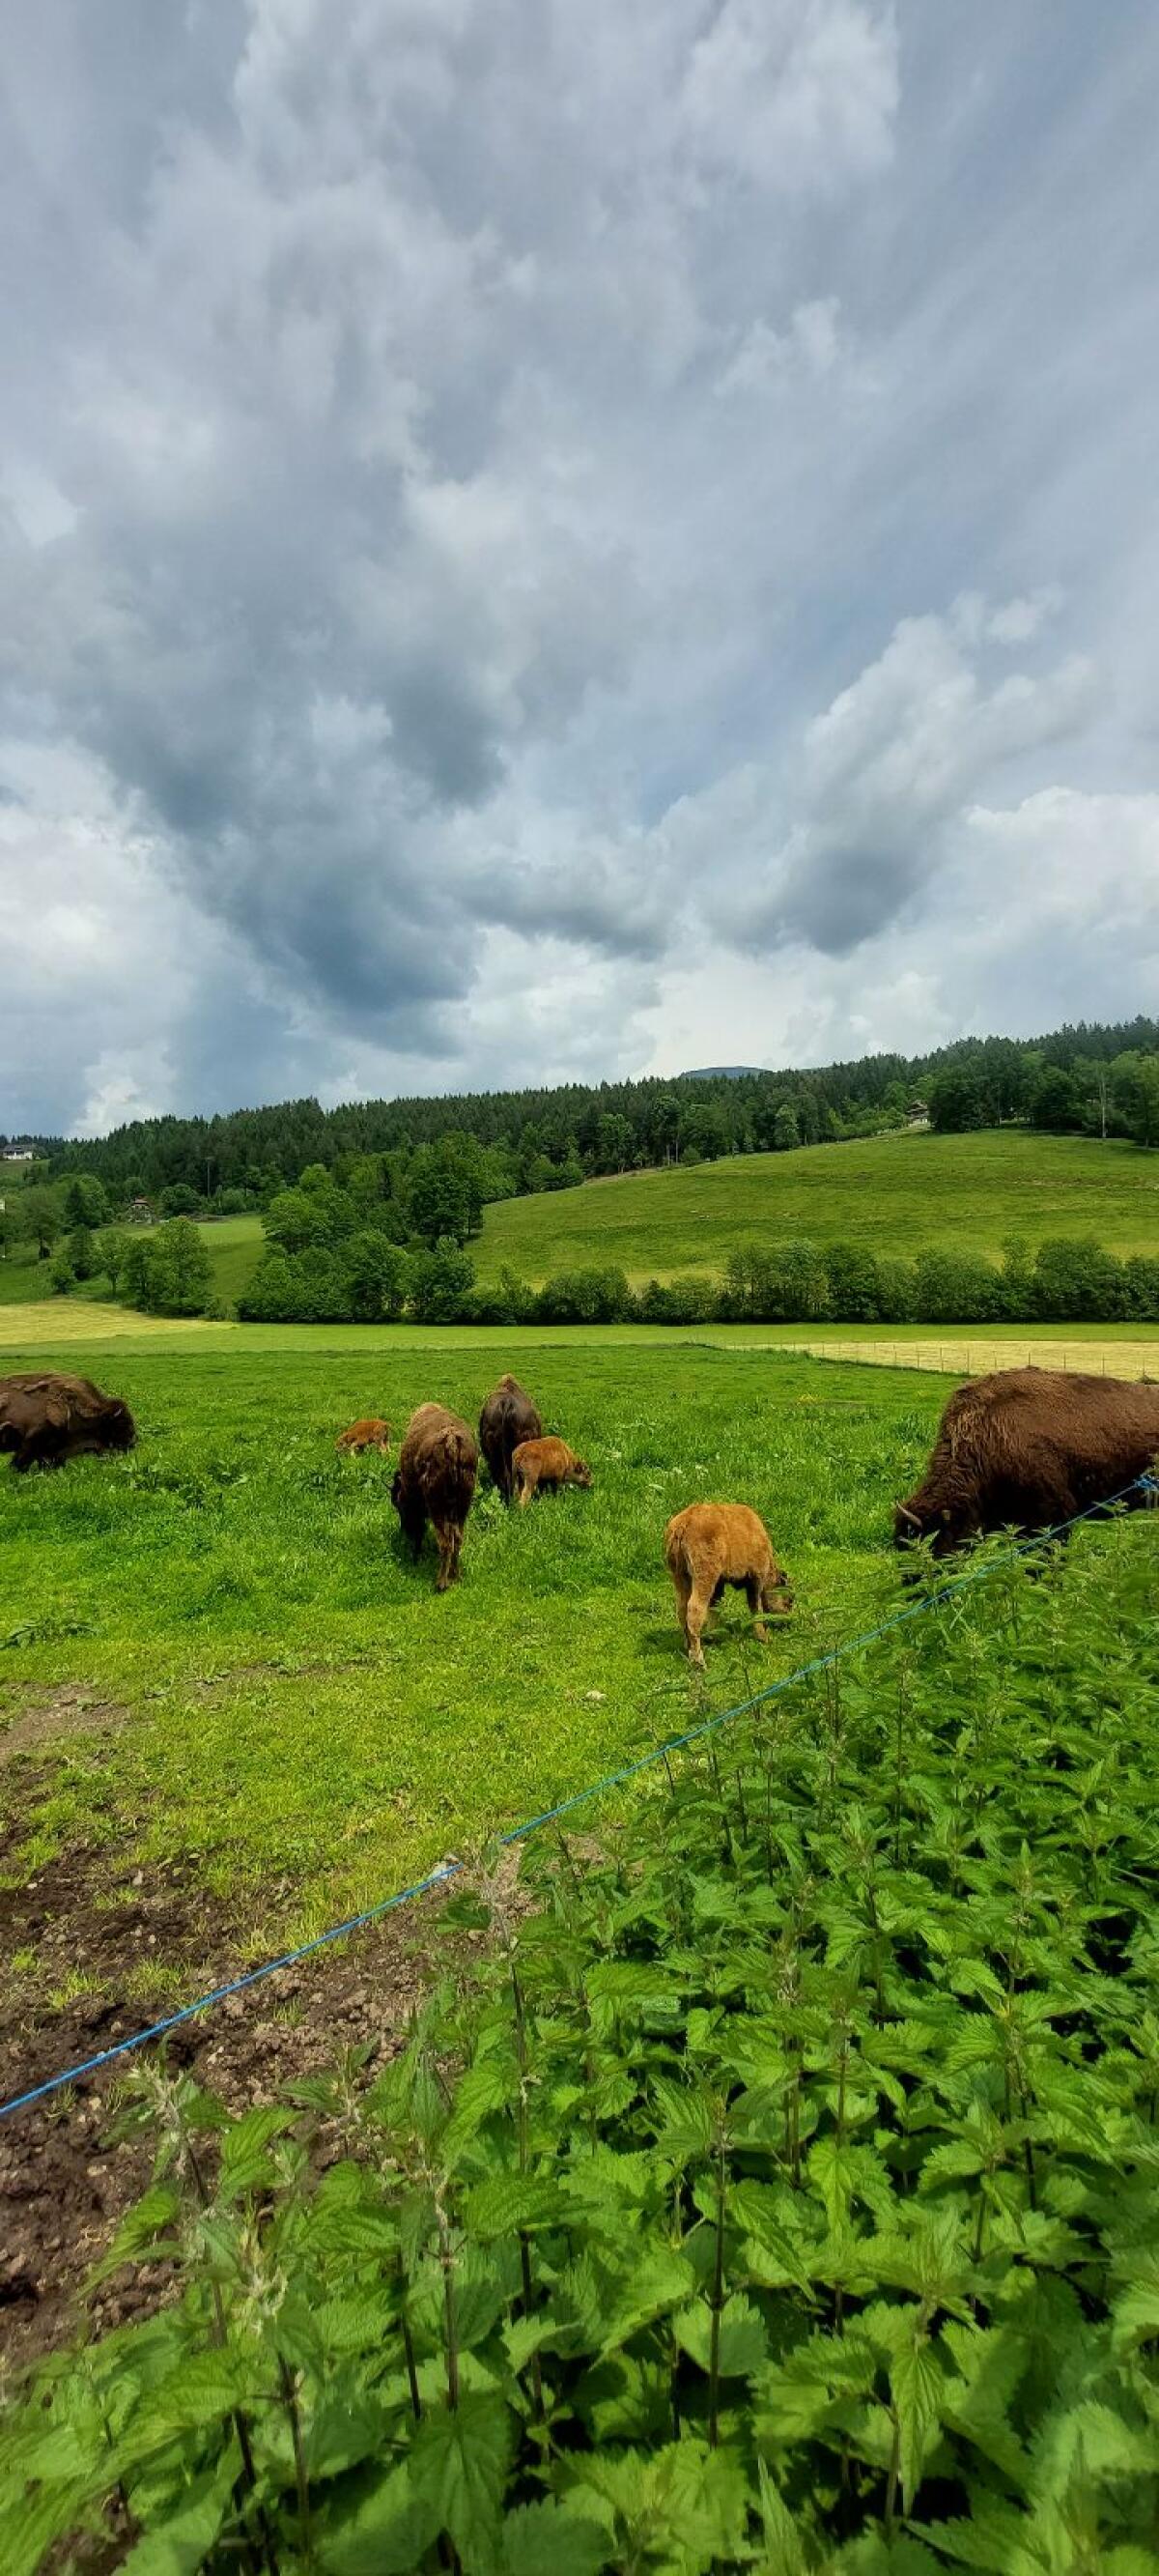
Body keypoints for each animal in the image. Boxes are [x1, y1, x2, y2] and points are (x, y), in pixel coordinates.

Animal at [391, 1403, 478, 1591]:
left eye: (399, 1505)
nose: (405, 1531)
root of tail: (451, 1441)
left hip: (436, 1507)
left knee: (445, 1542)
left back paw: (441, 1583)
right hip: (463, 1506)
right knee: (457, 1539)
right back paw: (455, 1576)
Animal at [664, 1502, 792, 1669]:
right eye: (789, 1601)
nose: (786, 1622)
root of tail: (684, 1522)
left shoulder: (719, 1583)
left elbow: (715, 1606)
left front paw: (712, 1636)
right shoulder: (756, 1578)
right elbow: (755, 1606)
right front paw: (763, 1637)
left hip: (679, 1576)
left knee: (682, 1608)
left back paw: (689, 1647)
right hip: (704, 1576)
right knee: (695, 1609)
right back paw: (699, 1661)